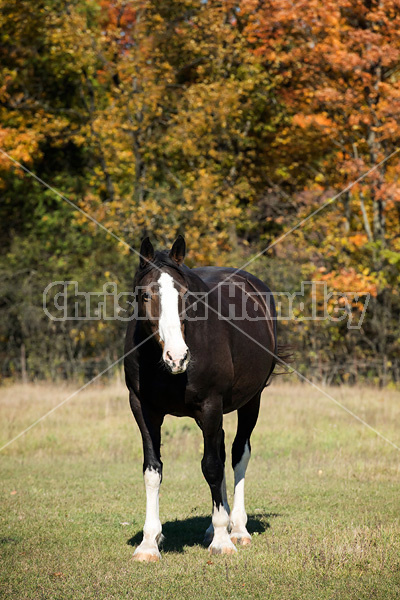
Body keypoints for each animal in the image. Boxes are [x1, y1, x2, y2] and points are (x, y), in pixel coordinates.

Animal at [125, 236, 278, 564]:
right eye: (145, 295)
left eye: (185, 294)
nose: (177, 357)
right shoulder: (143, 409)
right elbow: (152, 470)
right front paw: (149, 543)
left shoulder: (210, 405)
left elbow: (212, 467)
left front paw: (222, 540)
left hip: (251, 402)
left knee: (237, 455)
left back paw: (237, 528)